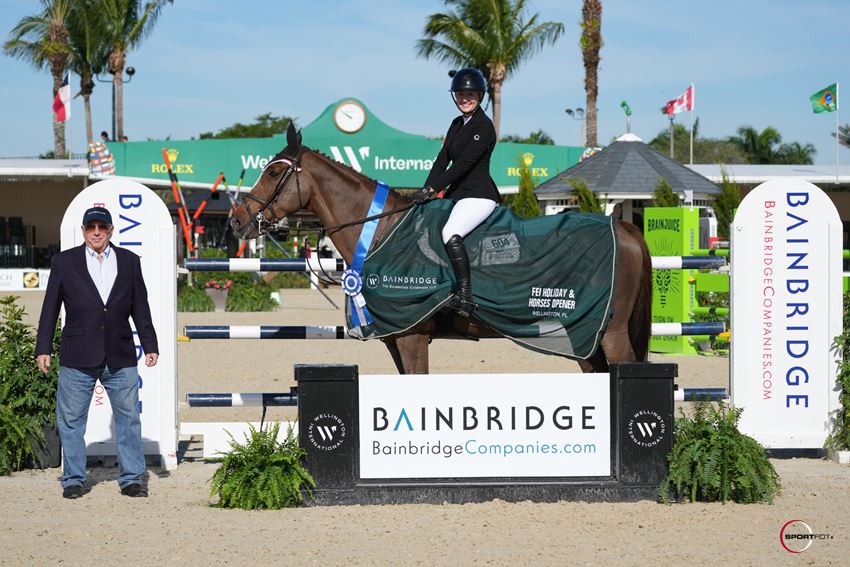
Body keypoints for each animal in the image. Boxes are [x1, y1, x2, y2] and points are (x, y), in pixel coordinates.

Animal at [229, 126, 652, 374]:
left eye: (273, 172)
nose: (237, 219)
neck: (382, 231)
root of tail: (623, 226)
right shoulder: (396, 338)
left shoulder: (412, 336)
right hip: (585, 339)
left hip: (610, 334)